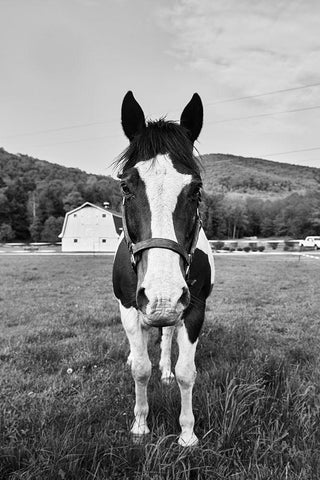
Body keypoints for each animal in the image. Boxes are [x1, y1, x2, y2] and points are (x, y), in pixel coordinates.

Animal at [112, 91, 215, 446]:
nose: (162, 296)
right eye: (126, 187)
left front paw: (187, 433)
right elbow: (141, 369)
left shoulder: (194, 307)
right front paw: (140, 425)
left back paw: (166, 369)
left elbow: (187, 372)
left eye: (196, 189)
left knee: (167, 335)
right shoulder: (130, 305)